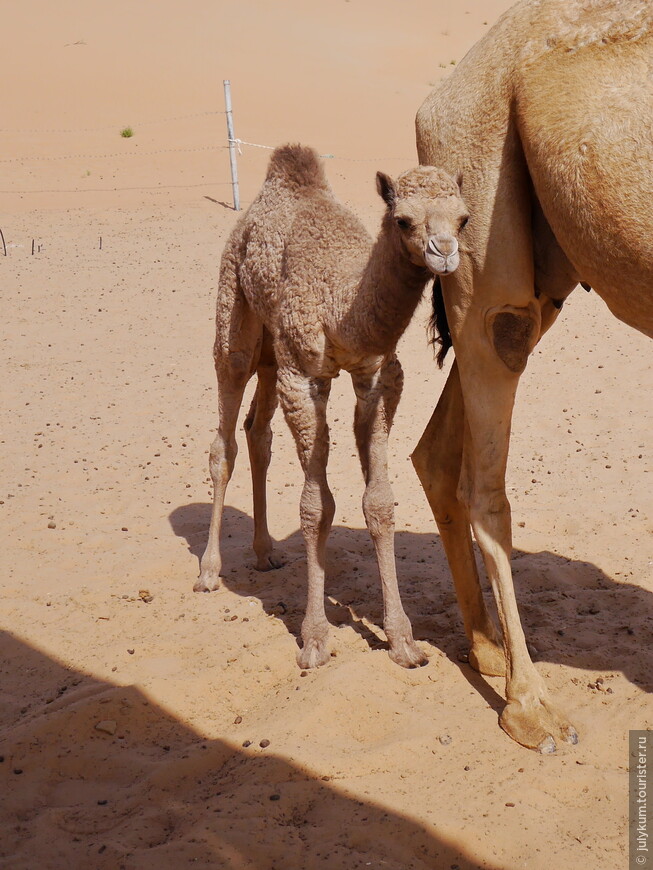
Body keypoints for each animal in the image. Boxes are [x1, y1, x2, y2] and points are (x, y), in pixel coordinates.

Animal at [196, 146, 466, 672]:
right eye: (403, 220)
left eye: (464, 218)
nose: (444, 251)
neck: (341, 308)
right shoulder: (304, 378)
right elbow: (316, 505)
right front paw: (315, 640)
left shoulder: (378, 377)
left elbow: (378, 502)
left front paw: (403, 641)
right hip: (236, 320)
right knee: (224, 439)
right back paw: (209, 571)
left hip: (271, 349)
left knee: (258, 432)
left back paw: (265, 553)